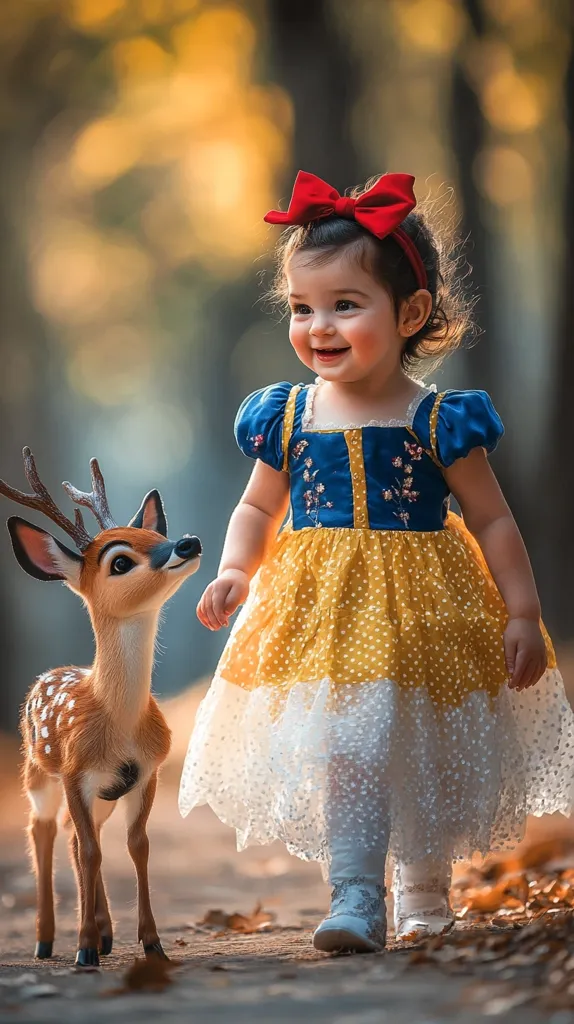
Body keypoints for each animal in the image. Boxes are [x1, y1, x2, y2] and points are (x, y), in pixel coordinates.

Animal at [0, 448, 201, 967]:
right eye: (120, 562)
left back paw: (105, 932)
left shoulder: (146, 772)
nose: (188, 542)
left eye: (159, 536)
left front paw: (152, 944)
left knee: (74, 834)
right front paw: (84, 950)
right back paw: (48, 940)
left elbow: (137, 845)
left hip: (102, 794)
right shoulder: (75, 773)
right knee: (44, 830)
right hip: (37, 772)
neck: (119, 723)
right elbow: (91, 850)